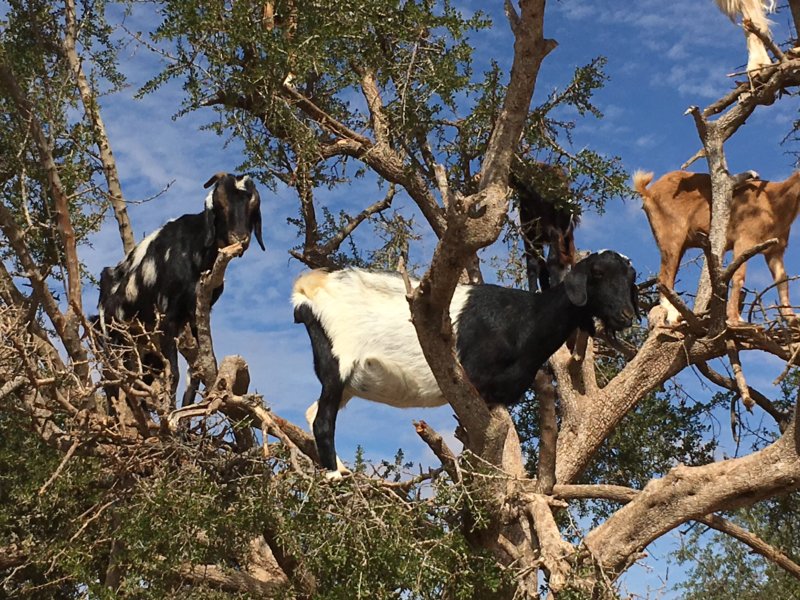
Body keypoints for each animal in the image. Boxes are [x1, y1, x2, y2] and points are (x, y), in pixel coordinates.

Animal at [98, 172, 265, 405]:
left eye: (253, 205)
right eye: (220, 204)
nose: (240, 239)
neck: (195, 249)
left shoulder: (198, 313)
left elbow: (198, 371)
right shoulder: (168, 315)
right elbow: (174, 374)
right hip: (113, 342)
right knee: (113, 383)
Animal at [293, 250, 638, 478]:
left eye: (631, 278)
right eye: (597, 274)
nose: (626, 316)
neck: (525, 318)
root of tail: (308, 288)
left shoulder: (496, 396)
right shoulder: (474, 383)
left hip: (347, 381)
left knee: (312, 412)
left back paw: (339, 468)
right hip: (338, 358)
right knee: (323, 420)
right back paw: (335, 477)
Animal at [634, 169, 800, 323]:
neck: (774, 203)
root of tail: (648, 192)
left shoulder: (775, 251)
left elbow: (782, 281)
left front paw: (791, 318)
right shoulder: (744, 241)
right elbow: (738, 277)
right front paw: (735, 318)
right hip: (671, 235)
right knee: (664, 277)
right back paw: (674, 315)